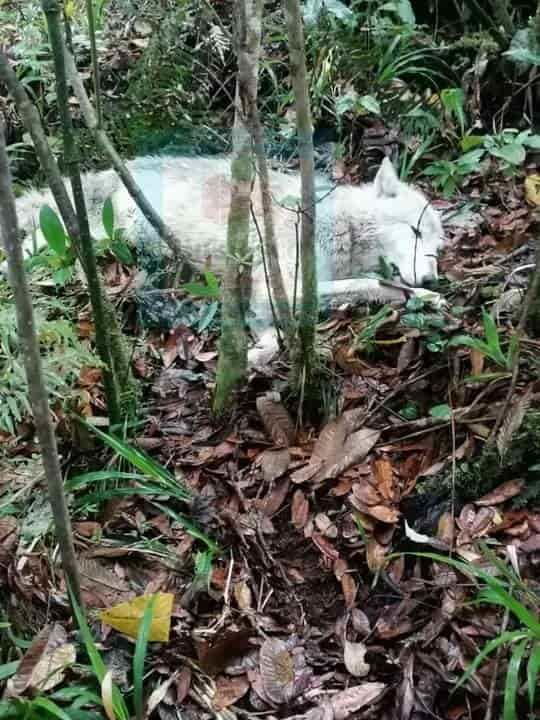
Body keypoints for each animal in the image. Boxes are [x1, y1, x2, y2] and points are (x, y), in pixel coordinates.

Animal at [13, 156, 442, 360]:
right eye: (415, 231)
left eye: (437, 249)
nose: (433, 277)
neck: (340, 226)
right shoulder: (281, 285)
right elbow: (370, 281)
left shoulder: (264, 298)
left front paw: (428, 298)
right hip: (89, 238)